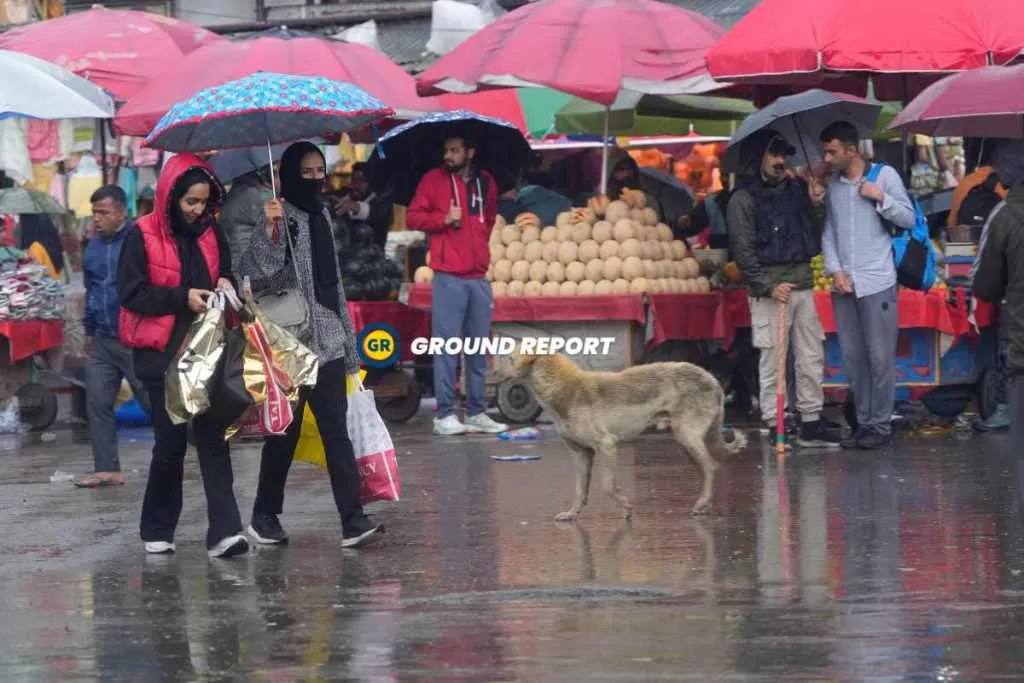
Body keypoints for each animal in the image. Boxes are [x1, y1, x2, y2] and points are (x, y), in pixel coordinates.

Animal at [501, 356, 749, 520]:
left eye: (510, 356)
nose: (495, 371)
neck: (562, 390)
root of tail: (714, 381)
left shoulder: (607, 446)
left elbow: (608, 486)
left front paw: (627, 507)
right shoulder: (581, 454)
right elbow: (580, 490)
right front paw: (572, 513)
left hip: (687, 435)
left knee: (710, 466)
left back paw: (702, 503)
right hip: (686, 442)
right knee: (706, 468)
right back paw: (705, 503)